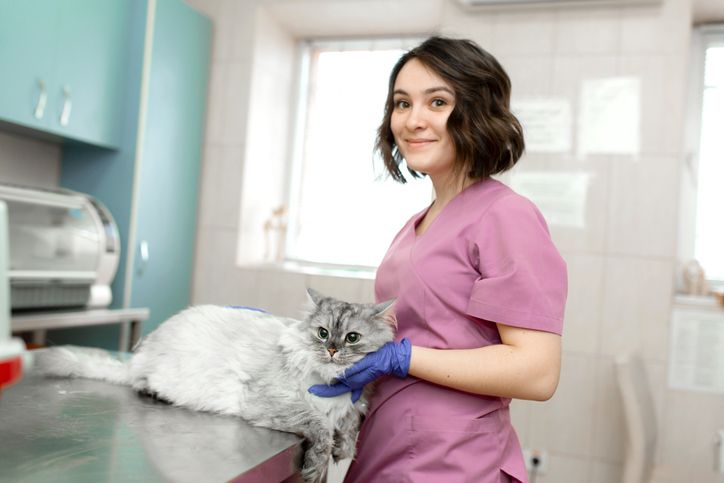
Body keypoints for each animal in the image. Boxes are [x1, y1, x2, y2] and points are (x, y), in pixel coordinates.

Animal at [35, 290, 396, 482]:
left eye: (352, 338)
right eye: (322, 333)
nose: (332, 350)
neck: (332, 382)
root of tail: (140, 357)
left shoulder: (353, 403)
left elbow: (349, 424)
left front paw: (343, 449)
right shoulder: (273, 403)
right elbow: (320, 426)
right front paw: (318, 464)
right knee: (138, 380)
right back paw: (152, 390)